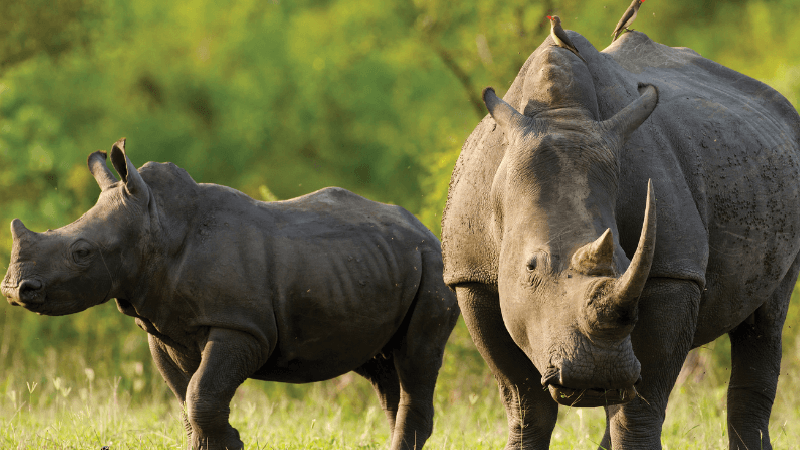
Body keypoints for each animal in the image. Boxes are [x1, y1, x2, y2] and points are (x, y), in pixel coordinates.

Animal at [2, 139, 460, 450]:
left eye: (81, 253)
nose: (14, 290)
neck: (157, 224)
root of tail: (425, 230)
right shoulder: (164, 328)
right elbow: (185, 396)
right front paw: (218, 445)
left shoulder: (242, 326)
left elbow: (201, 393)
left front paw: (228, 443)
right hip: (381, 264)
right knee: (384, 368)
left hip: (433, 268)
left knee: (416, 357)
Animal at [441, 31, 800, 449]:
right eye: (530, 266)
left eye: (629, 263)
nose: (597, 376)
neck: (560, 117)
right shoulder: (472, 277)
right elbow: (526, 404)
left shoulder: (672, 272)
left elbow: (640, 405)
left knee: (766, 321)